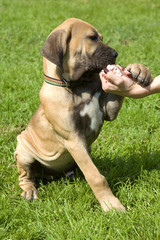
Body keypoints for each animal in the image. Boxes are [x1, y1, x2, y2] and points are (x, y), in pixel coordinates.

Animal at [14, 17, 152, 211]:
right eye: (92, 38)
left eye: (101, 37)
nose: (116, 54)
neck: (79, 85)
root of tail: (50, 175)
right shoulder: (74, 139)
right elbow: (96, 177)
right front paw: (111, 205)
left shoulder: (108, 111)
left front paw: (139, 69)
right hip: (23, 149)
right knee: (25, 176)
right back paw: (29, 190)